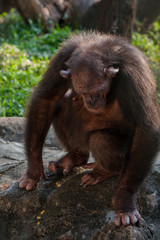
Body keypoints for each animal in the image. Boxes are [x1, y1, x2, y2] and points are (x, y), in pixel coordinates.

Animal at [19, 32, 160, 226]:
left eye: (98, 91)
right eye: (84, 92)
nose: (92, 101)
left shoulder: (134, 72)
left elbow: (147, 128)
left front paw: (124, 202)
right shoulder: (63, 55)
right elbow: (46, 99)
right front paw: (32, 172)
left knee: (100, 140)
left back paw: (103, 171)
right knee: (63, 102)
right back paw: (74, 157)